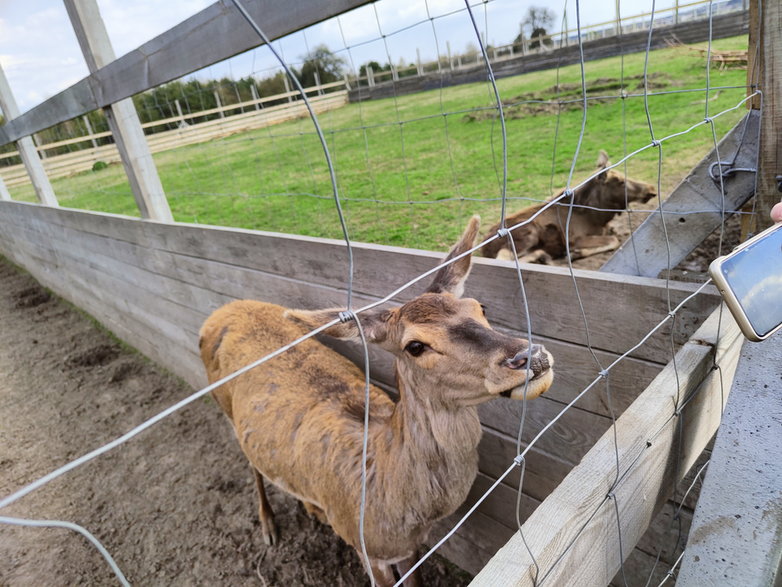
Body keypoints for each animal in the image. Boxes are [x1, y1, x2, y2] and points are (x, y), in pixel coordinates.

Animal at [199, 217, 556, 587]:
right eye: (415, 346)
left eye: (480, 307)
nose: (529, 356)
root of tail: (219, 311)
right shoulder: (367, 549)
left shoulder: (409, 548)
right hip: (222, 402)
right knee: (250, 461)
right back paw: (269, 526)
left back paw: (312, 509)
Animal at [480, 150, 660, 262]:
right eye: (620, 181)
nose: (651, 189)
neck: (597, 217)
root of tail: (484, 246)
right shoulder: (573, 239)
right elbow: (614, 240)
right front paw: (576, 253)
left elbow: (616, 233)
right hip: (529, 233)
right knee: (504, 257)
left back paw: (543, 256)